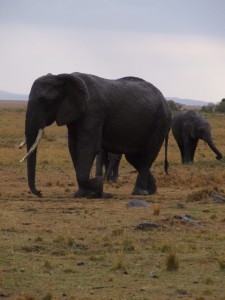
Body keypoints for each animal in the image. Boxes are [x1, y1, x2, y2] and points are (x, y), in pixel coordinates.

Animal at [20, 72, 171, 198]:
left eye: (44, 100)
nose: (40, 192)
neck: (62, 76)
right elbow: (74, 147)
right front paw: (83, 194)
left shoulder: (93, 111)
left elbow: (88, 147)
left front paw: (98, 186)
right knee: (134, 157)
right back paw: (151, 190)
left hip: (160, 121)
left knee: (147, 155)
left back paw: (139, 193)